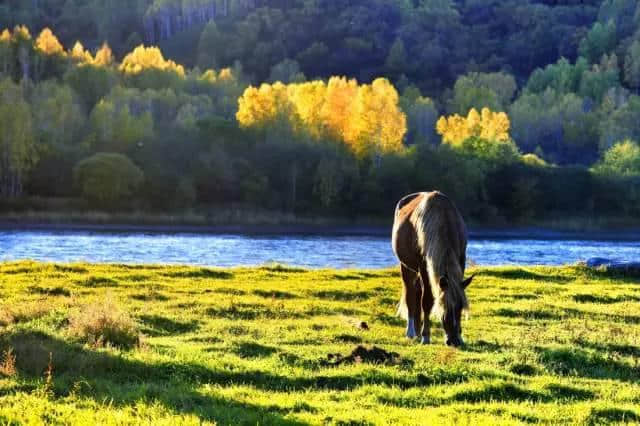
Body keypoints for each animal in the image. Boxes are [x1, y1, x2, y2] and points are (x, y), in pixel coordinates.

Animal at [390, 191, 476, 348]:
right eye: (442, 306)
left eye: (461, 307)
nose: (454, 341)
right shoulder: (424, 265)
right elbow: (427, 300)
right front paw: (426, 336)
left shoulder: (461, 260)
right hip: (406, 266)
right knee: (411, 294)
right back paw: (411, 332)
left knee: (417, 291)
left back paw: (417, 330)